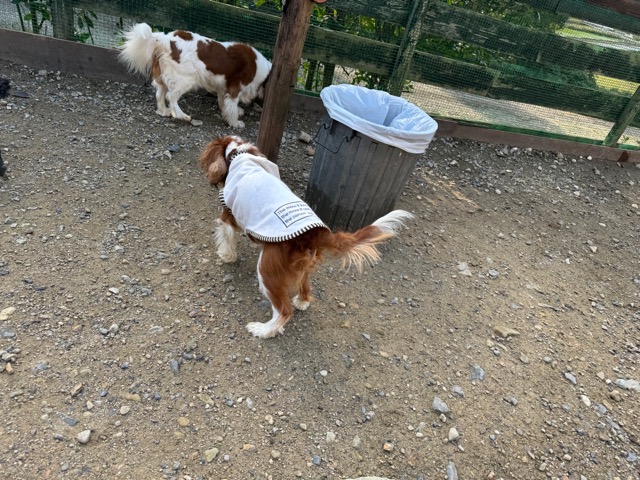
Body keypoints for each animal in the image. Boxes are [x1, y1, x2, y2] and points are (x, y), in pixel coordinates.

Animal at [118, 23, 271, 128]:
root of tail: (165, 39)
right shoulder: (236, 88)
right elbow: (232, 105)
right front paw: (235, 122)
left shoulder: (223, 88)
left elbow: (223, 102)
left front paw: (230, 113)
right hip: (186, 79)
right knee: (171, 96)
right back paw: (181, 116)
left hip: (164, 76)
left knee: (160, 94)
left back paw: (164, 111)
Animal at [199, 136, 414, 338]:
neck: (239, 154)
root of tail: (314, 234)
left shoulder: (228, 215)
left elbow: (225, 235)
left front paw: (226, 256)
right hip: (300, 266)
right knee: (305, 285)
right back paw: (302, 302)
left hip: (267, 271)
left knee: (283, 311)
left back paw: (264, 330)